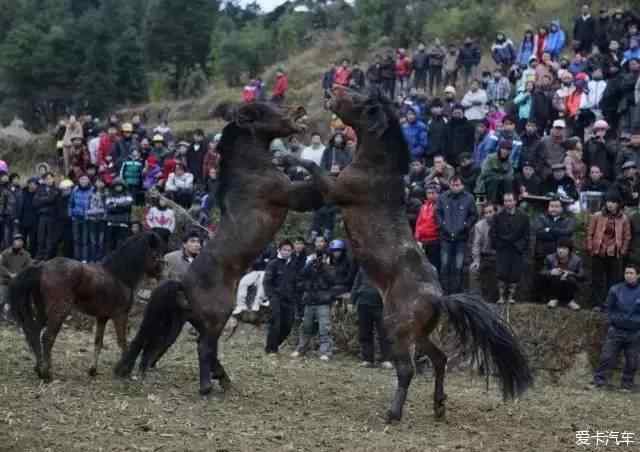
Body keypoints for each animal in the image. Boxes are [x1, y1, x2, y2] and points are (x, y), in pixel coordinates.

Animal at [8, 233, 164, 382]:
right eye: (156, 255)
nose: (161, 276)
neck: (119, 276)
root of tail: (42, 267)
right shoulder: (120, 315)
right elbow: (123, 342)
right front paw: (124, 371)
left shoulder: (102, 318)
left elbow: (98, 343)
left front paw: (93, 370)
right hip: (59, 311)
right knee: (48, 337)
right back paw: (46, 374)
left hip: (42, 310)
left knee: (35, 332)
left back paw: (38, 368)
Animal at [114, 103, 320, 396]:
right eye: (268, 110)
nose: (300, 112)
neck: (252, 170)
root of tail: (181, 284)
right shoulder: (293, 196)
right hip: (216, 318)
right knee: (204, 348)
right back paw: (208, 387)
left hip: (182, 322)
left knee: (185, 348)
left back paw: (221, 381)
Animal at [282, 88, 532, 424]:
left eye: (361, 100)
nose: (334, 90)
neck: (376, 168)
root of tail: (440, 298)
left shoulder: (335, 188)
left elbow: (313, 169)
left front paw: (285, 158)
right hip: (419, 334)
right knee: (439, 359)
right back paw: (438, 405)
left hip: (396, 330)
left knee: (407, 369)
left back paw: (394, 413)